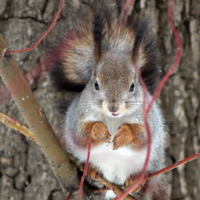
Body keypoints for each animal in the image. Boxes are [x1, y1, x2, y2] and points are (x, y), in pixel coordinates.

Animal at [49, 1, 169, 200]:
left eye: (132, 86)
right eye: (96, 84)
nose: (114, 107)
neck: (113, 119)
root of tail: (114, 182)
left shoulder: (148, 121)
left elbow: (141, 136)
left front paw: (124, 135)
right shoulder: (77, 118)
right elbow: (82, 134)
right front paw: (99, 131)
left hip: (153, 161)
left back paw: (137, 180)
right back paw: (91, 171)